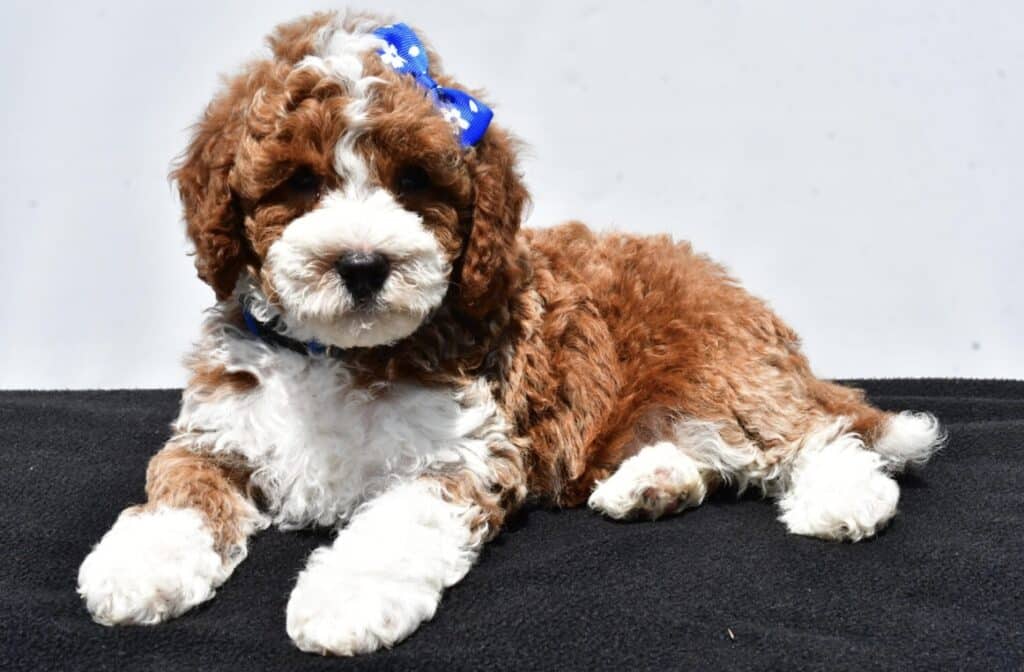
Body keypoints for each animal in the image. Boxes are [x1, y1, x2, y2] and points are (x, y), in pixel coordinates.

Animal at [77, 10, 942, 655]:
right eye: (298, 181)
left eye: (414, 181)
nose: (362, 264)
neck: (342, 355)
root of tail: (736, 294)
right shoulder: (217, 431)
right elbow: (179, 490)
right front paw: (140, 567)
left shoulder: (465, 454)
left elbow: (397, 524)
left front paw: (346, 600)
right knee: (703, 454)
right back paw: (650, 484)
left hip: (719, 374)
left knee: (817, 434)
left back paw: (844, 498)